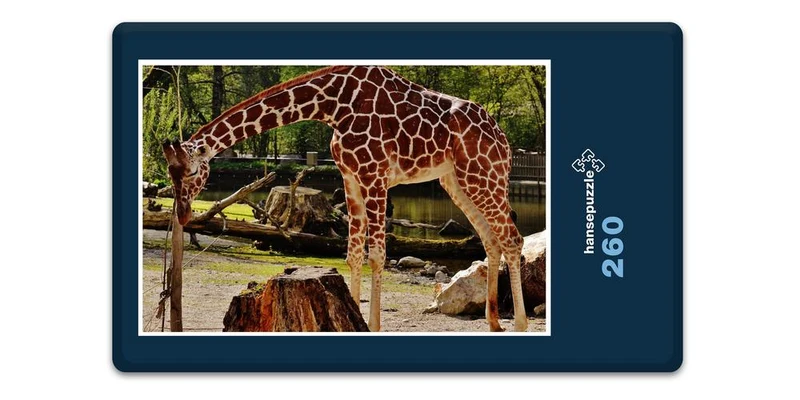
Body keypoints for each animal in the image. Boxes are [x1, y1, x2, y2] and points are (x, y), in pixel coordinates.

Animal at [162, 65, 528, 332]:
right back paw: (494, 323)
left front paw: (374, 325)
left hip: (484, 174)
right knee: (491, 239)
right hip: (455, 180)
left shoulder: (375, 175)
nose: (183, 214)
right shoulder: (350, 178)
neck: (333, 106)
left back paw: (521, 324)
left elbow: (377, 255)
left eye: (192, 172)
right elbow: (352, 254)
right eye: (170, 172)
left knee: (512, 238)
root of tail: (505, 140)